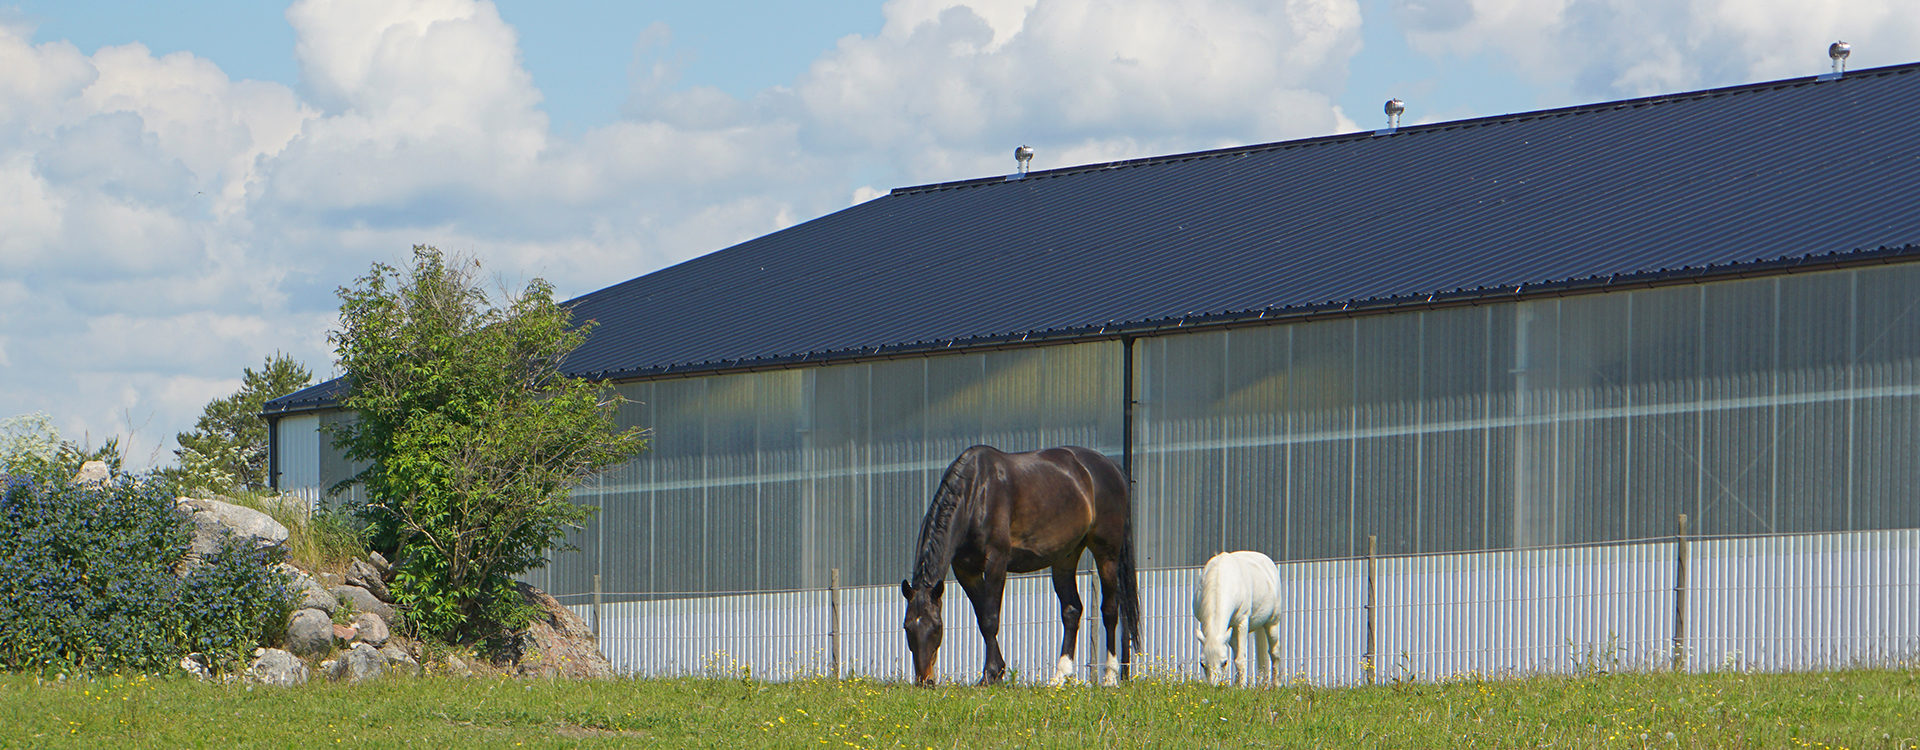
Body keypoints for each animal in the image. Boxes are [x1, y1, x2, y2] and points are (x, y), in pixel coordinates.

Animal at [898, 446, 1136, 686]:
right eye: (907, 627)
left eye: (936, 627)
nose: (925, 680)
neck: (975, 495)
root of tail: (1111, 467)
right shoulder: (966, 571)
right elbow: (982, 616)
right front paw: (997, 670)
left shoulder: (996, 562)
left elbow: (990, 618)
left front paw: (991, 674)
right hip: (1065, 557)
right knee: (1072, 610)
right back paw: (1060, 675)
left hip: (1107, 553)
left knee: (1110, 610)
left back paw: (1109, 676)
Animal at [1190, 548, 1282, 690]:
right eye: (1202, 663)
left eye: (1224, 662)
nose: (1213, 687)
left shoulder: (1242, 623)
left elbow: (1240, 659)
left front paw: (1242, 687)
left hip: (1272, 622)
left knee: (1274, 652)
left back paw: (1275, 685)